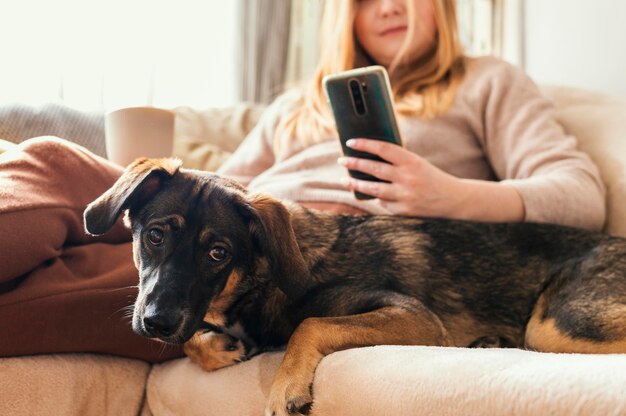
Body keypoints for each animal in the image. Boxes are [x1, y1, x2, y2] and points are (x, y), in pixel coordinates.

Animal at [84, 157, 624, 416]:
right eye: (154, 236)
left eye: (218, 253)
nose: (156, 323)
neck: (263, 280)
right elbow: (199, 342)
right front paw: (217, 347)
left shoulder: (413, 316)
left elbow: (312, 324)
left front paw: (285, 386)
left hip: (557, 322)